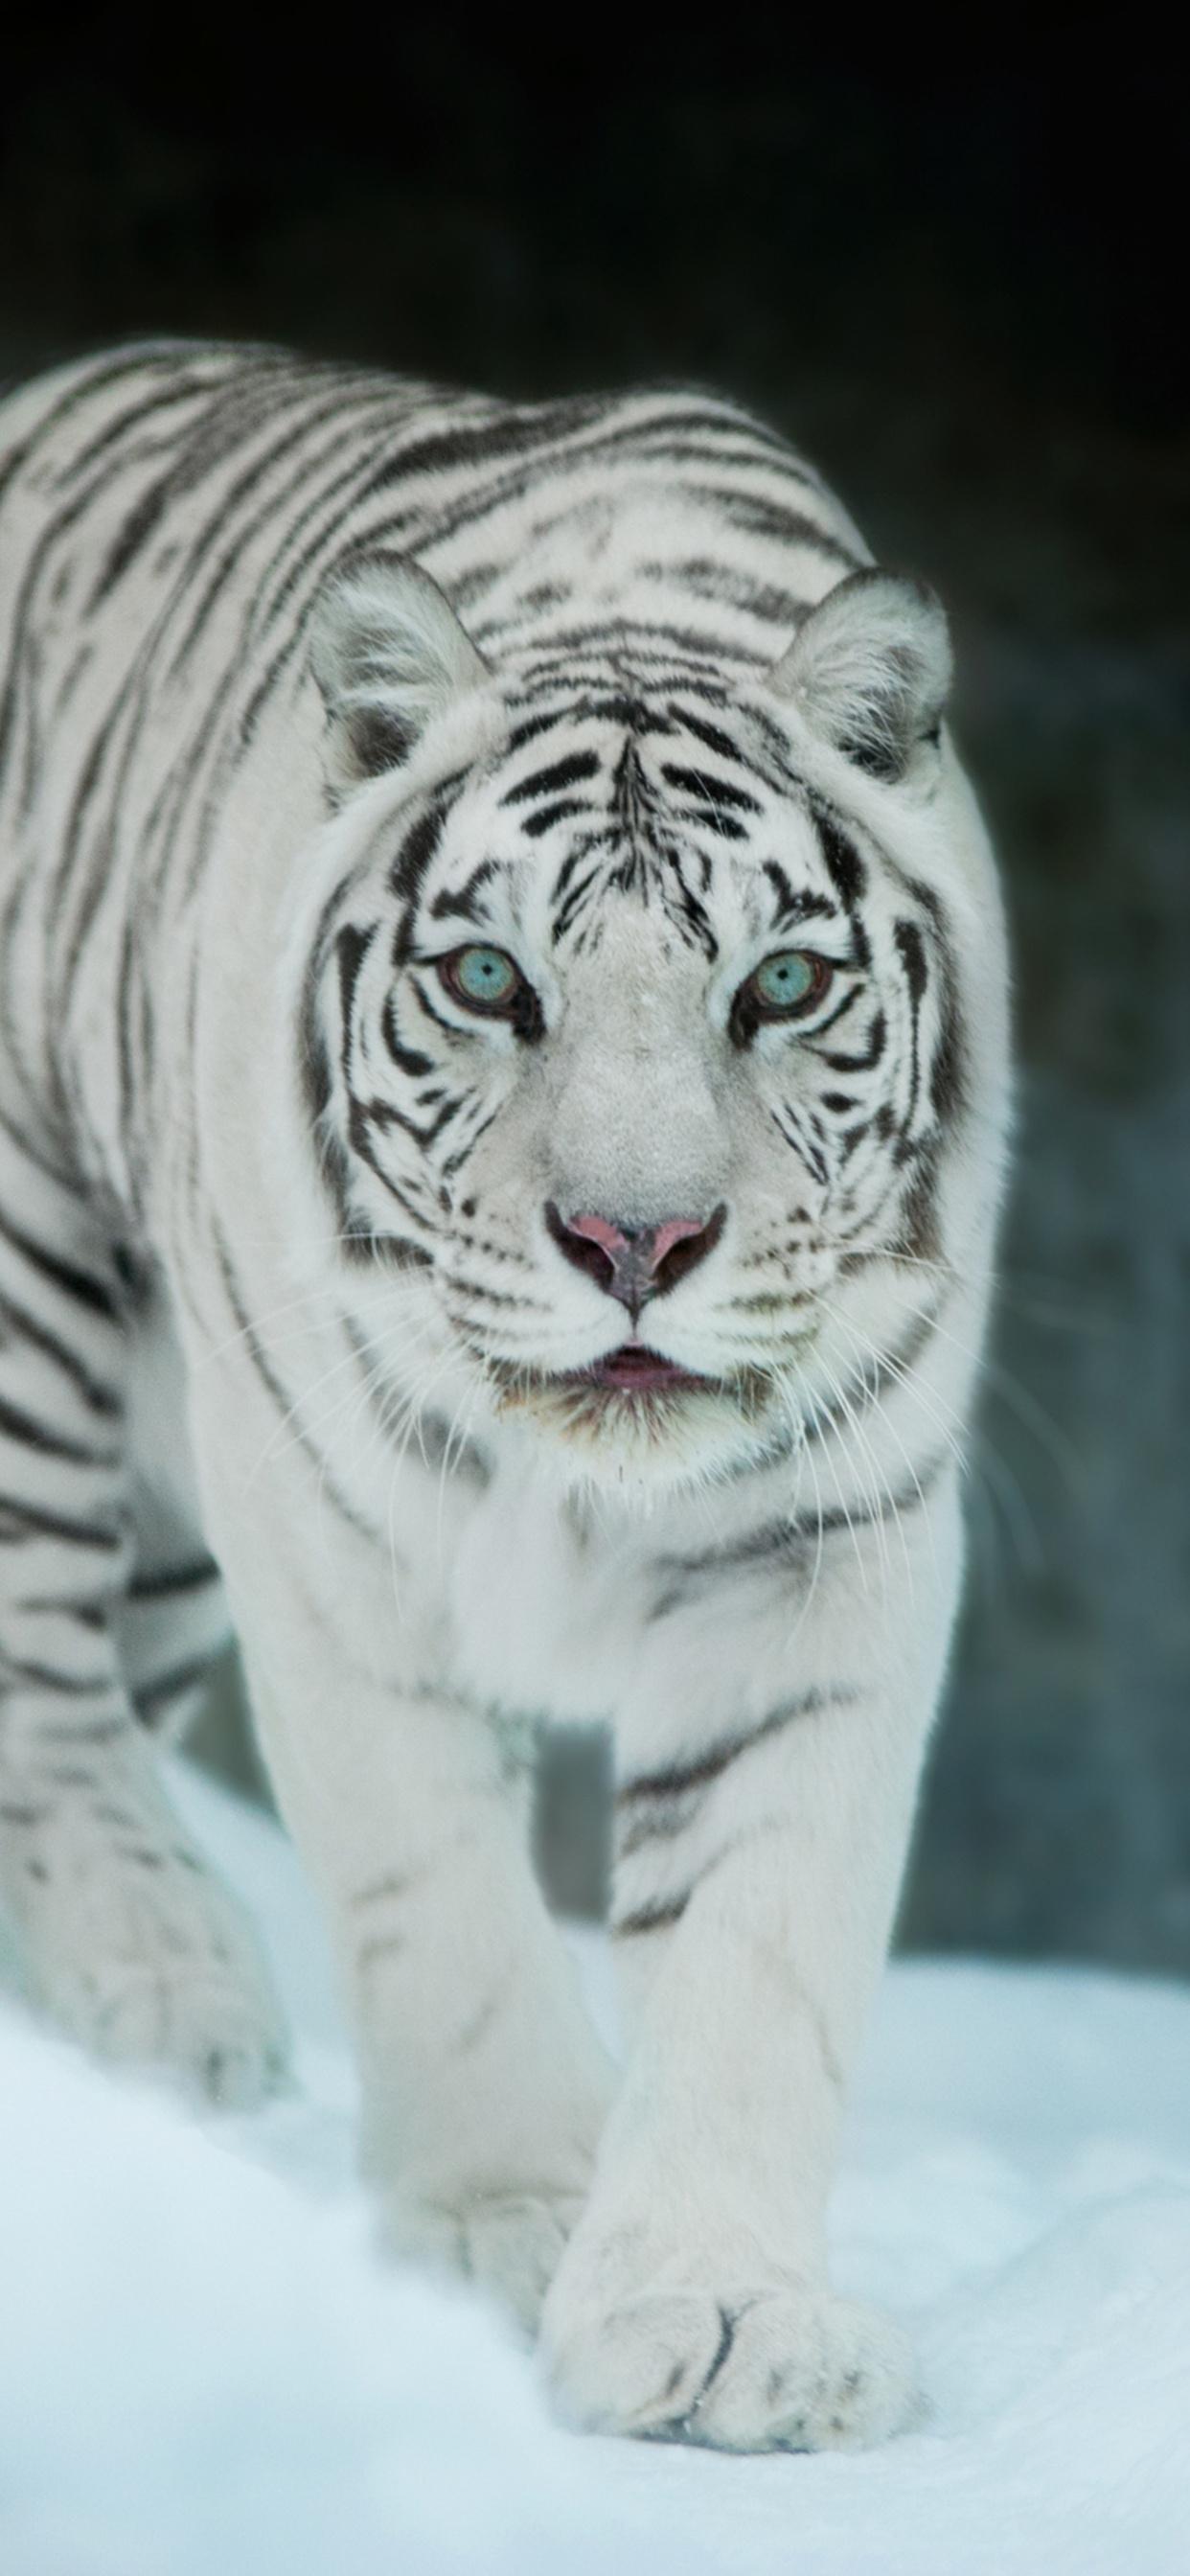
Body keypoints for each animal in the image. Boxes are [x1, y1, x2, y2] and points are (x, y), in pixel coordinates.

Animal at [0, 340, 1009, 2453]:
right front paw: (506, 2228)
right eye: (486, 979)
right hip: (39, 1286)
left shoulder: (828, 1538)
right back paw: (174, 1993)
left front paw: (726, 2316)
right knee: (33, 1683)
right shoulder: (320, 1522)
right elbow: (438, 1898)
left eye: (778, 988)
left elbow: (758, 1945)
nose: (637, 1239)